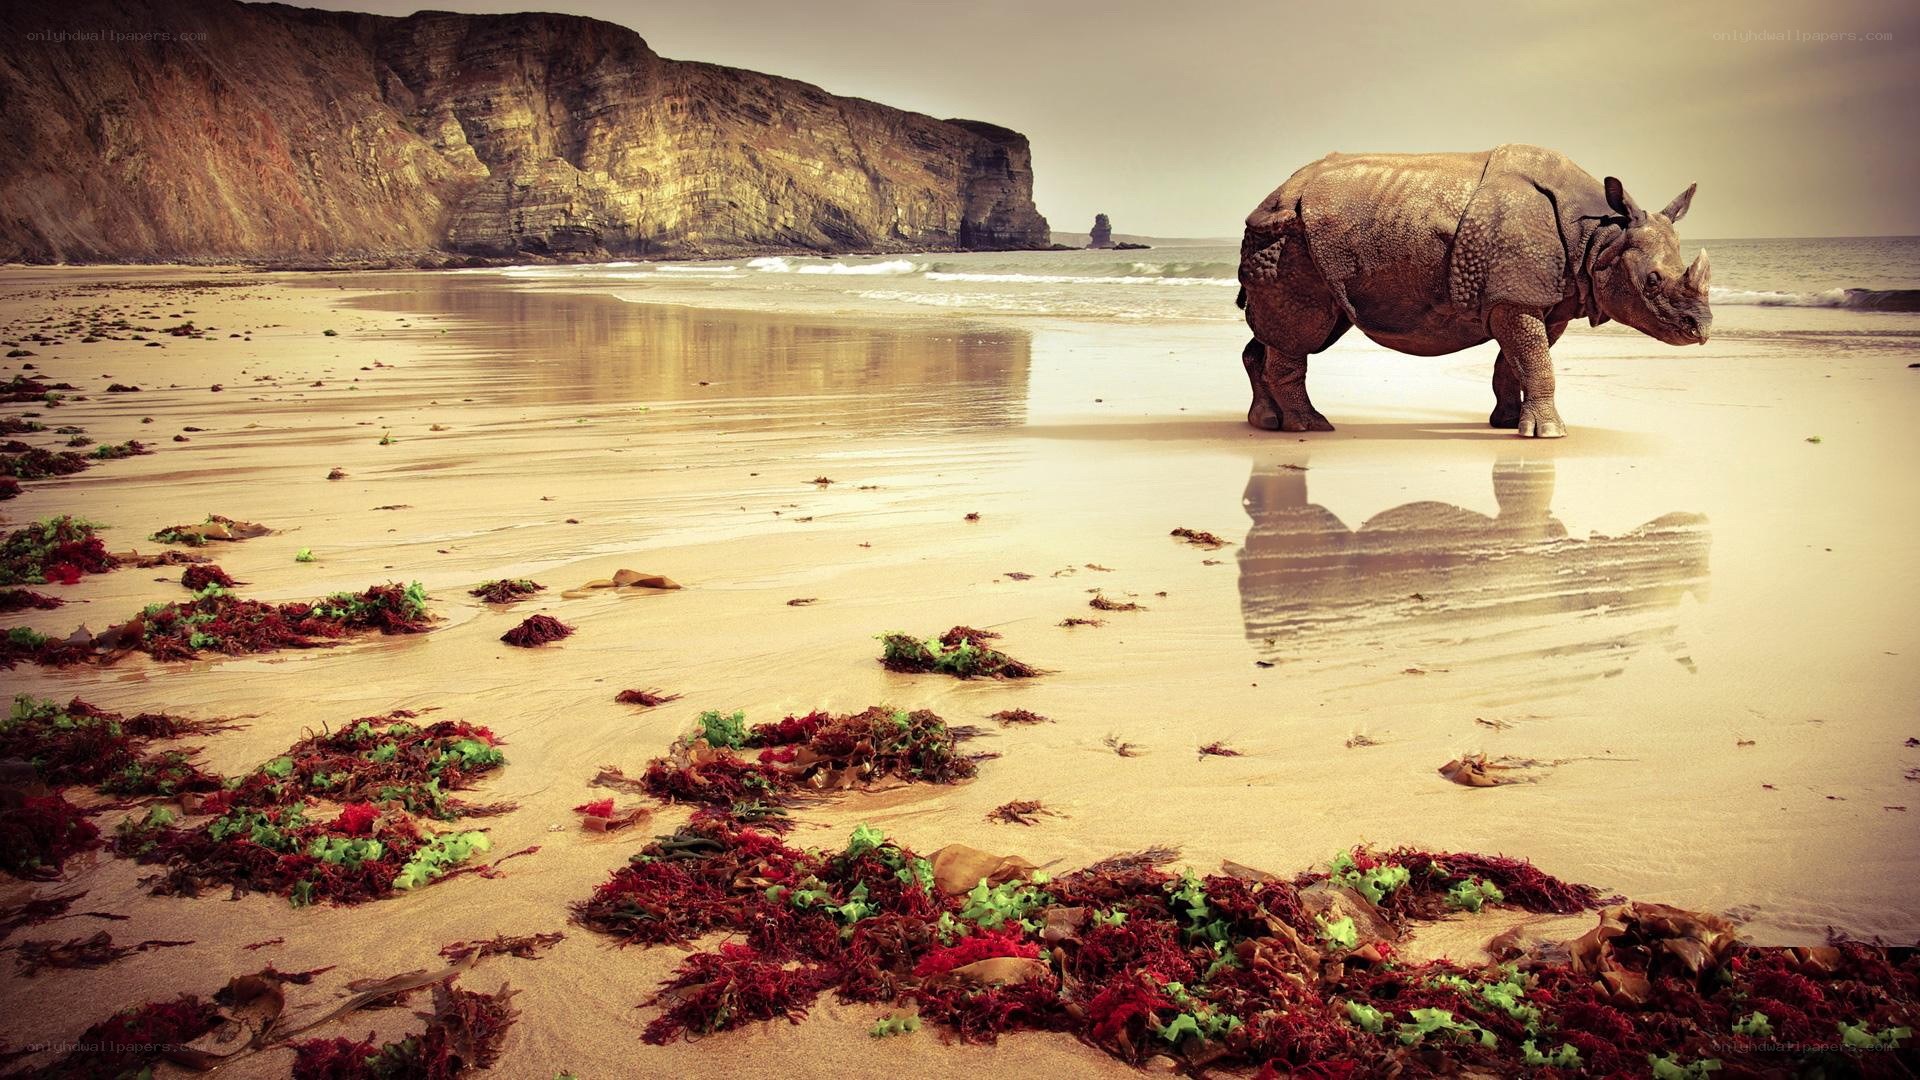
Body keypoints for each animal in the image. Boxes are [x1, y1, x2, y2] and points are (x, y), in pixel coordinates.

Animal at [1236, 144, 1711, 437]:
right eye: (1653, 280)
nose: (1701, 329)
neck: (1600, 235)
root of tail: (1276, 191)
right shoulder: (1516, 295)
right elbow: (1535, 360)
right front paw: (1550, 434)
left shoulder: (1544, 298)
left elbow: (1517, 361)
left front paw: (1508, 423)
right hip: (1291, 234)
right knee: (1304, 331)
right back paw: (1311, 426)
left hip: (1298, 235)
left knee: (1296, 328)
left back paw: (1266, 423)